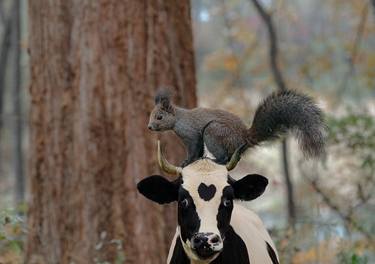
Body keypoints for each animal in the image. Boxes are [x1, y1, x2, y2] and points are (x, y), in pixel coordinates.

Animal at [148, 89, 326, 166]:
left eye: (159, 117)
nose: (149, 127)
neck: (178, 119)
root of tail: (244, 138)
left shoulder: (191, 135)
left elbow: (194, 149)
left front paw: (186, 162)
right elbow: (198, 151)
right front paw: (194, 160)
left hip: (213, 132)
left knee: (225, 157)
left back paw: (216, 160)